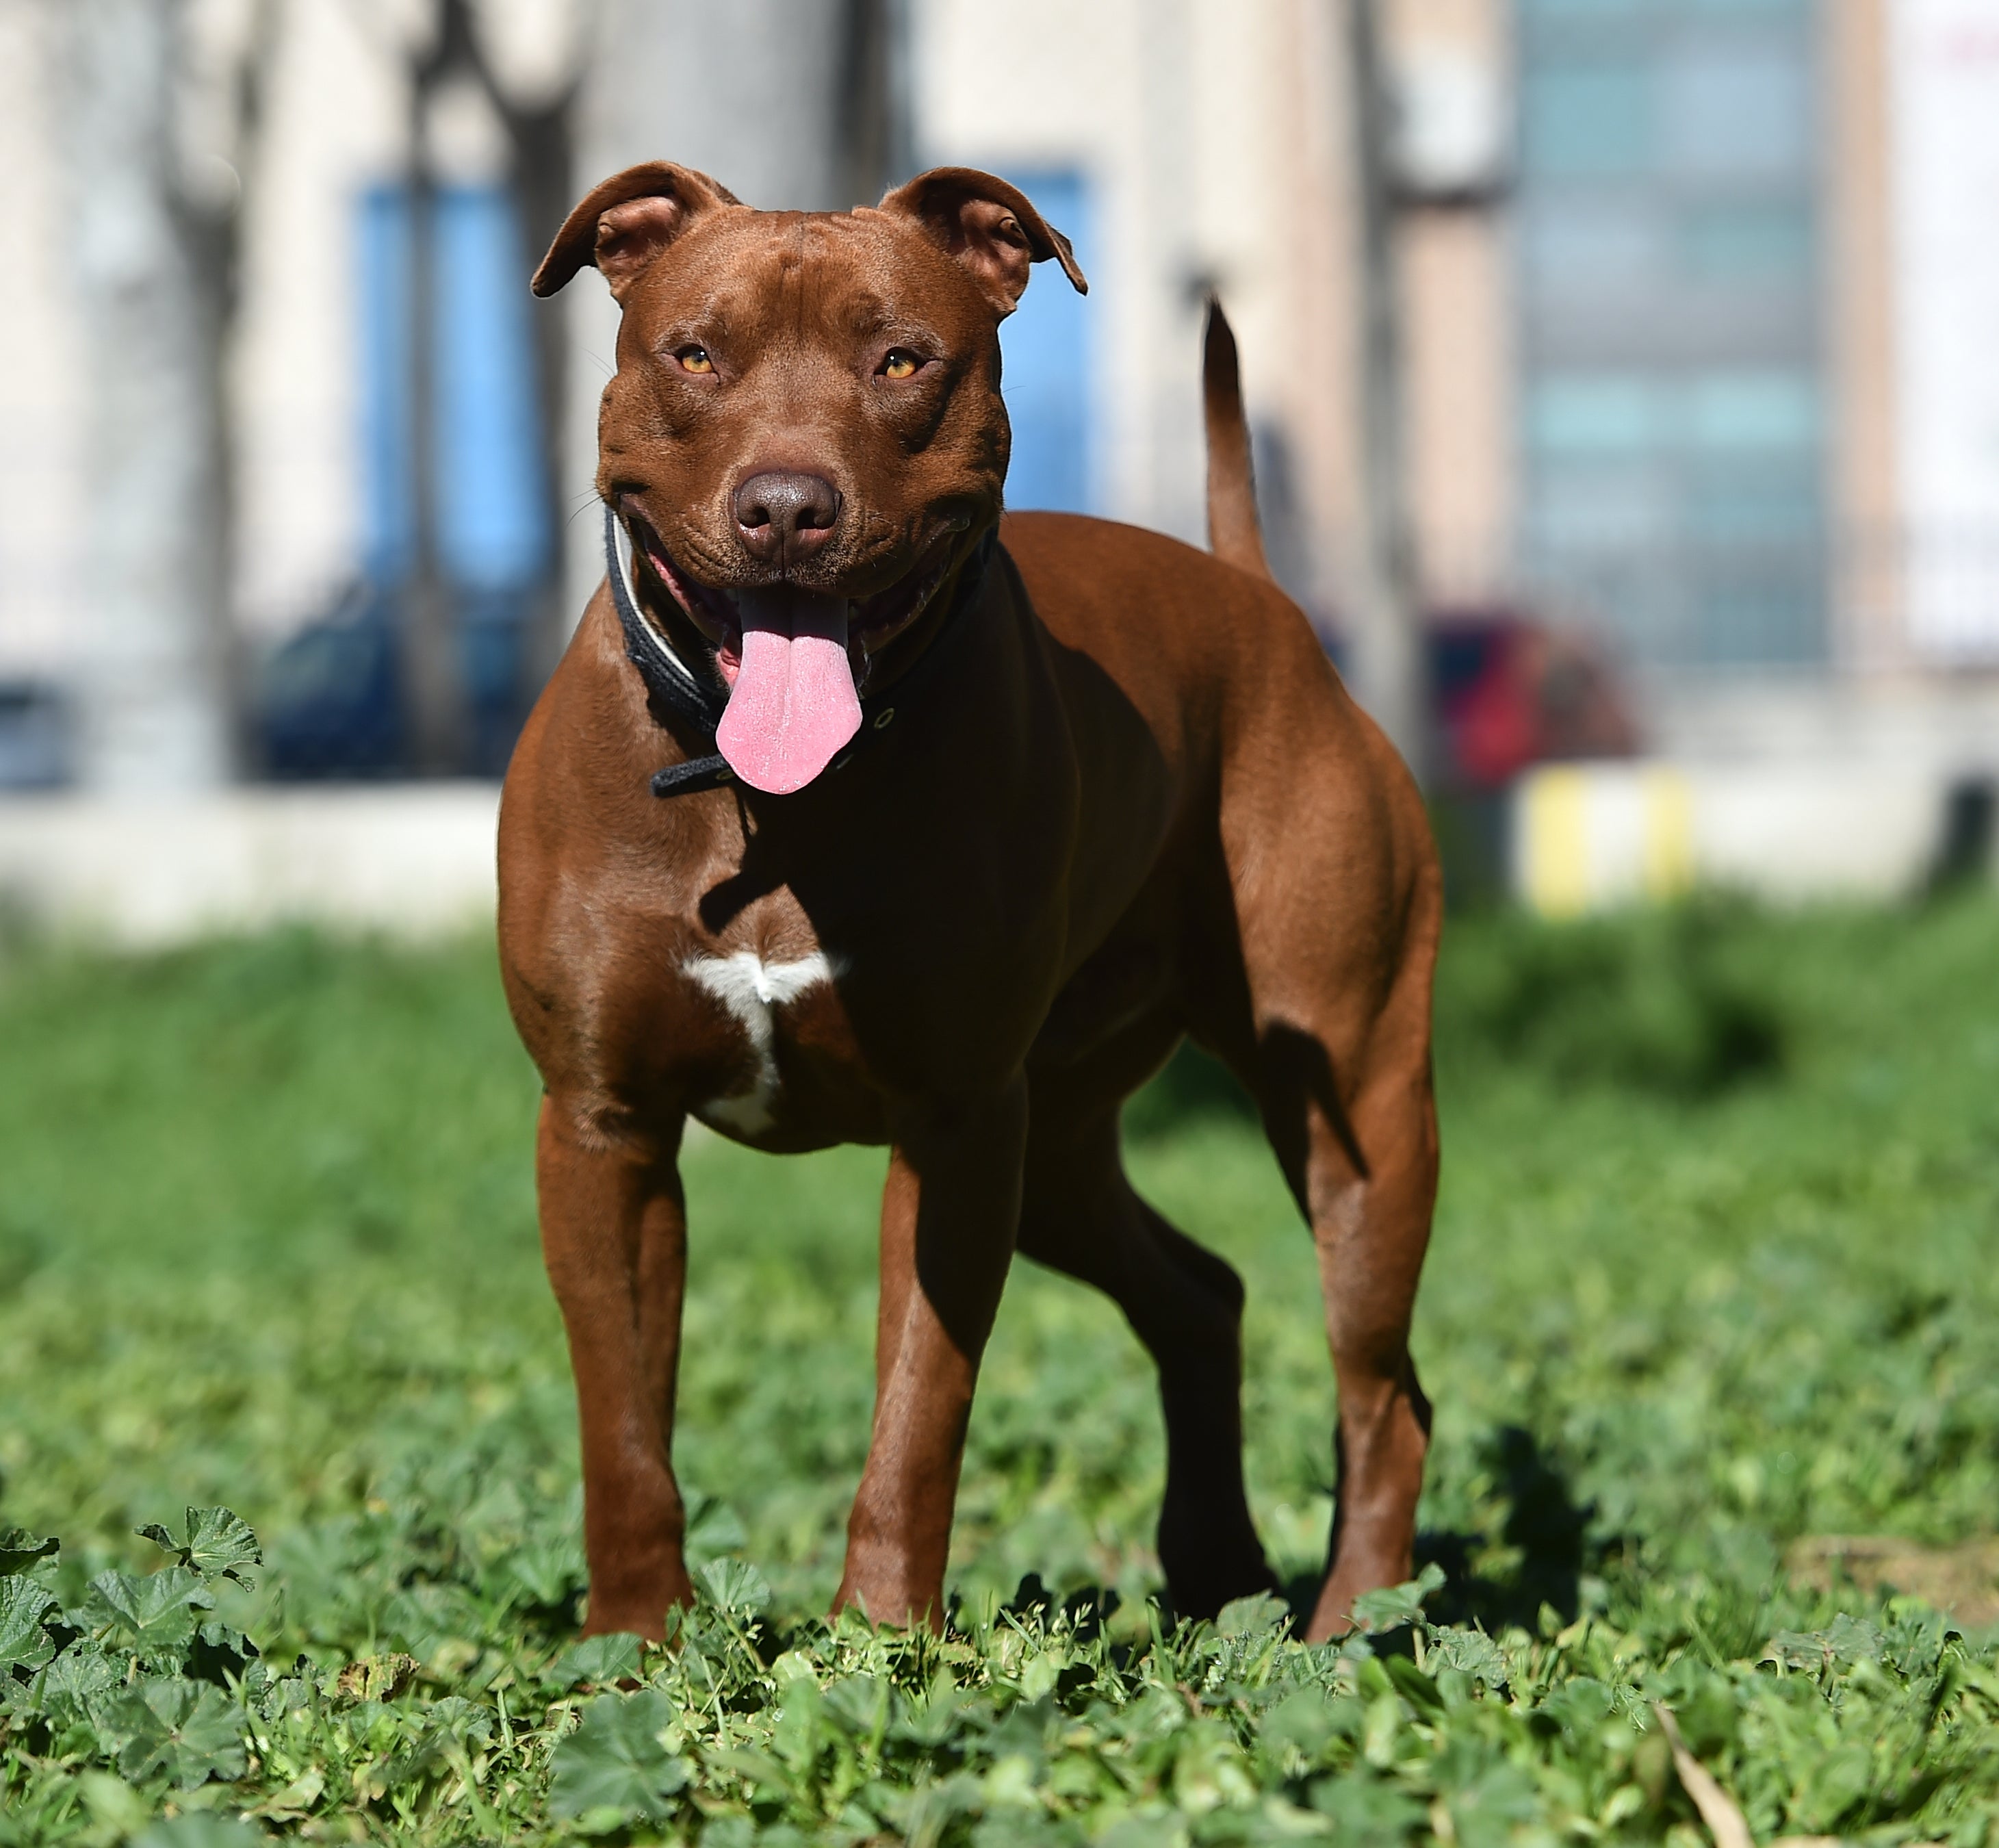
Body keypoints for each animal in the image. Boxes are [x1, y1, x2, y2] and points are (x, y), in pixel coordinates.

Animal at [498, 155, 1439, 1632]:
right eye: (693, 354)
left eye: (901, 360)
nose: (786, 506)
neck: (770, 795)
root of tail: (1258, 603)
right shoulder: (602, 1132)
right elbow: (623, 1426)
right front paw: (632, 1641)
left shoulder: (952, 1132)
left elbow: (916, 1407)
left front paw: (880, 1638)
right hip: (1058, 1144)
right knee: (1200, 1293)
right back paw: (1215, 1569)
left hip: (1356, 1113)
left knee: (1381, 1390)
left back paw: (1350, 1630)